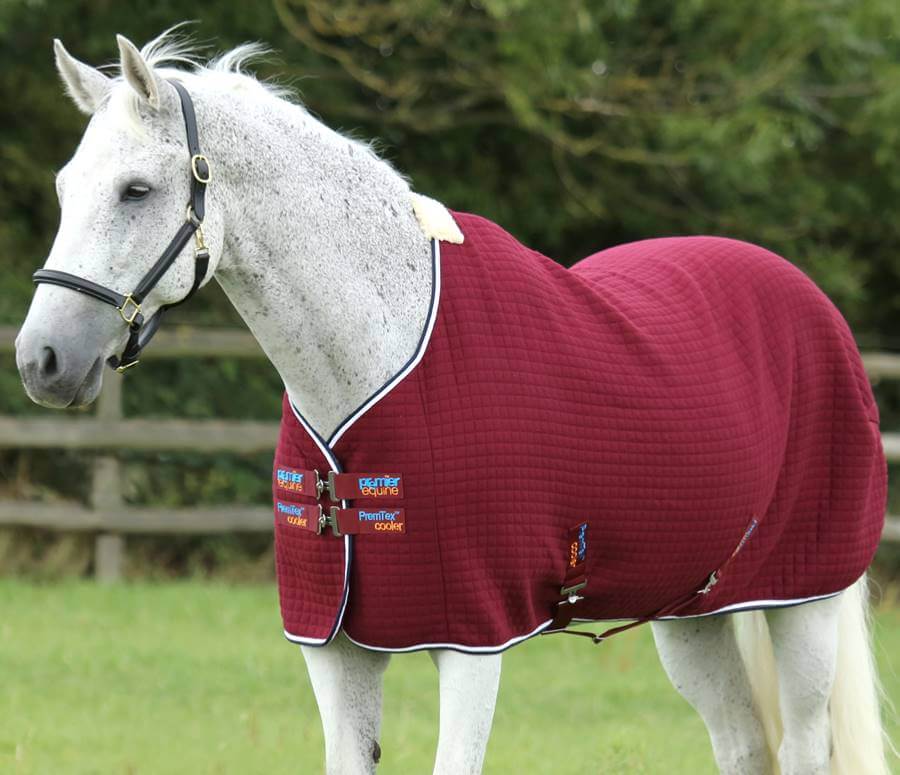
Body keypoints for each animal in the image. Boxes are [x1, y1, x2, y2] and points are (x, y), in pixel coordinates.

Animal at [15, 30, 891, 774]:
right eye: (65, 187)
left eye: (136, 190)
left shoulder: (471, 640)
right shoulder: (333, 647)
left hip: (804, 605)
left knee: (803, 748)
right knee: (743, 743)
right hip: (691, 611)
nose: (41, 360)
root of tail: (809, 299)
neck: (380, 355)